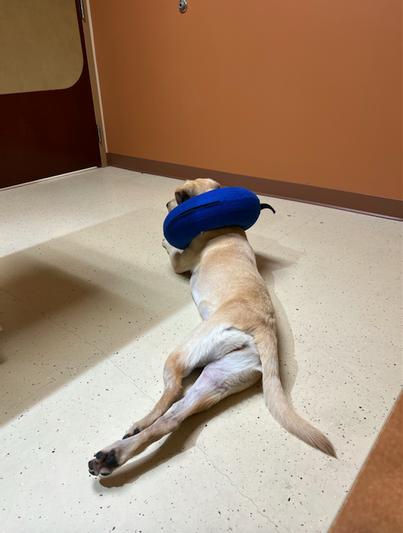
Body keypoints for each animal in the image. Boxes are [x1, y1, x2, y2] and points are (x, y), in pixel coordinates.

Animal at [88, 178, 335, 476]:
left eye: (175, 198)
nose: (166, 205)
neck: (222, 226)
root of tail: (264, 329)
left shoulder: (179, 263)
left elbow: (174, 253)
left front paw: (165, 240)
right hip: (217, 380)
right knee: (171, 419)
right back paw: (111, 456)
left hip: (185, 351)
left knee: (172, 393)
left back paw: (136, 427)